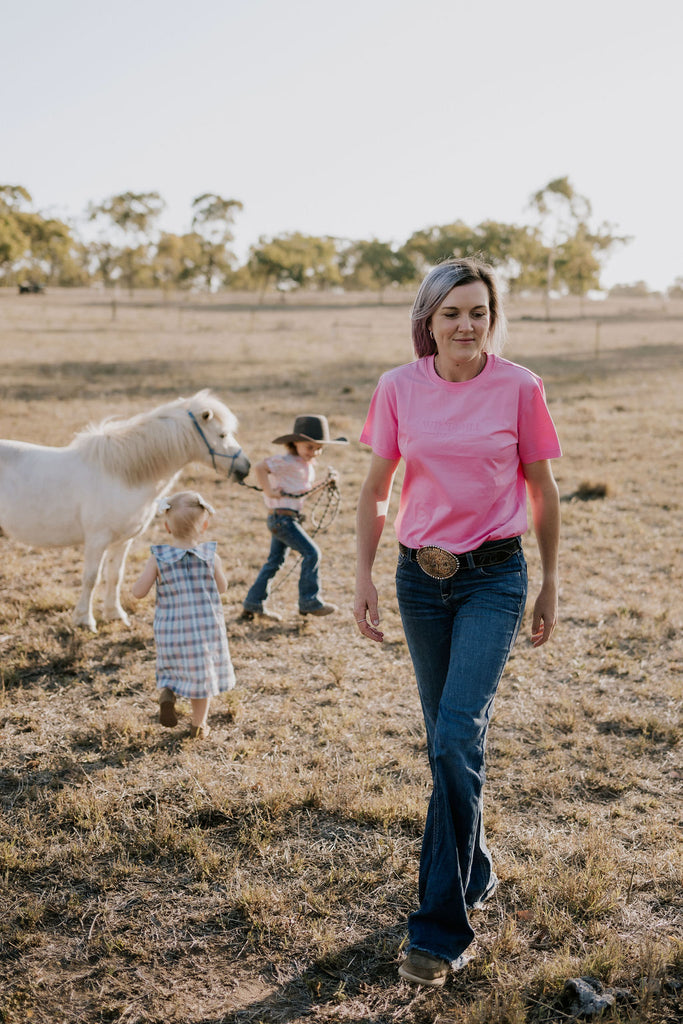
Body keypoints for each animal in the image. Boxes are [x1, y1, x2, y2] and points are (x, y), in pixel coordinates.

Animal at [0, 391, 250, 630]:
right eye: (222, 435)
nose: (245, 467)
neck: (121, 474)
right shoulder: (97, 540)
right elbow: (91, 578)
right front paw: (84, 620)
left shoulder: (122, 541)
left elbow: (114, 576)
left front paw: (114, 614)